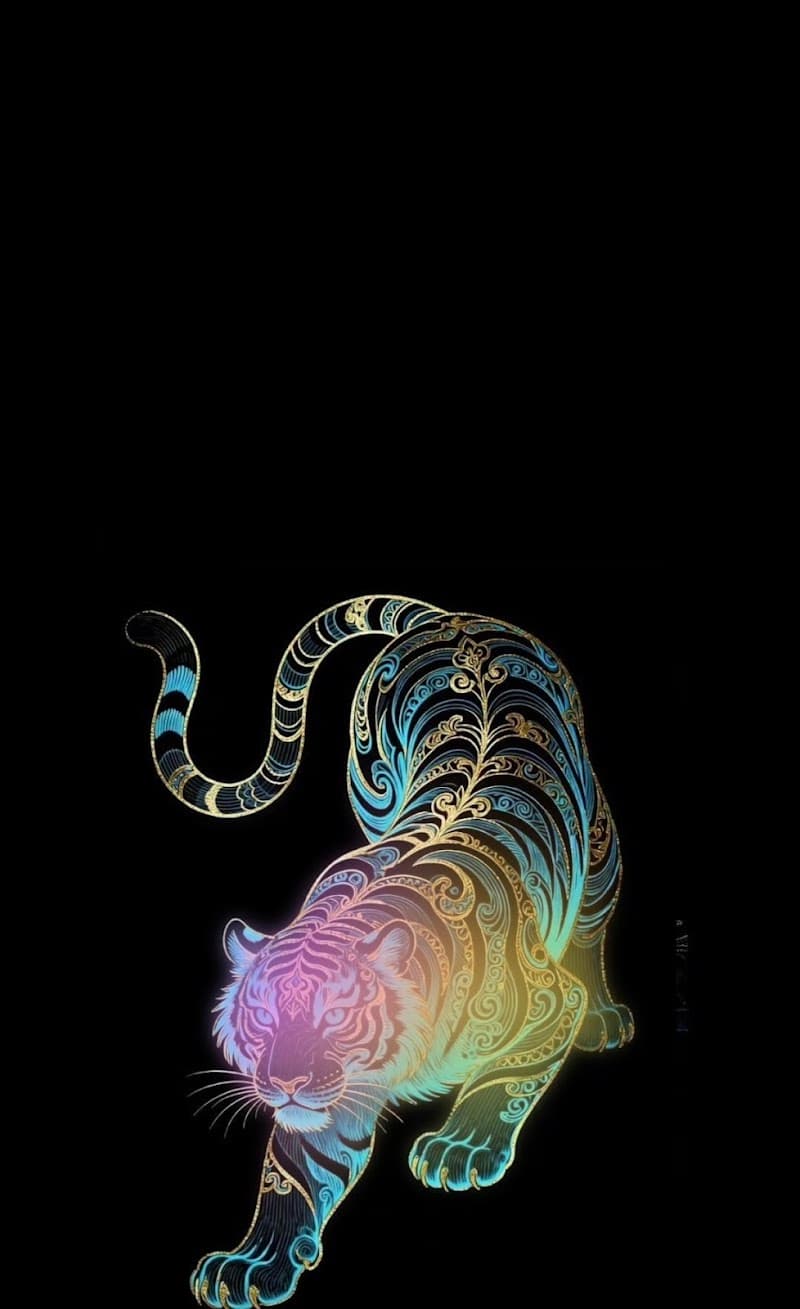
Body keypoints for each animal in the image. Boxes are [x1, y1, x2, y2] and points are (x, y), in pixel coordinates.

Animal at [127, 596, 633, 1309]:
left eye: (336, 1017)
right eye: (263, 1019)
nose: (283, 1083)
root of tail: (451, 617)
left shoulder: (548, 1002)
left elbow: (508, 1074)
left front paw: (460, 1147)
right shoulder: (329, 1097)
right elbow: (293, 1169)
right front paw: (255, 1263)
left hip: (599, 842)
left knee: (593, 922)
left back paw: (605, 1019)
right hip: (368, 782)